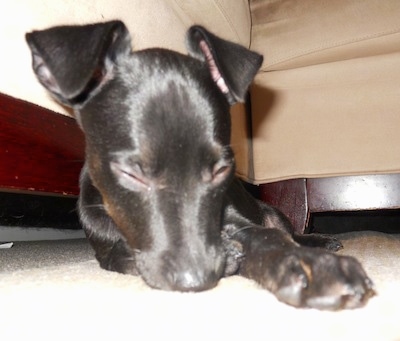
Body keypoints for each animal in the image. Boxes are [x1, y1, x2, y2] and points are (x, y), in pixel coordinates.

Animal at [25, 20, 376, 308]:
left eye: (221, 170)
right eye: (130, 174)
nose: (195, 279)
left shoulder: (239, 219)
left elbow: (268, 238)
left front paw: (309, 265)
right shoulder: (106, 247)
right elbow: (121, 254)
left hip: (273, 211)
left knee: (289, 230)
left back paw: (320, 242)